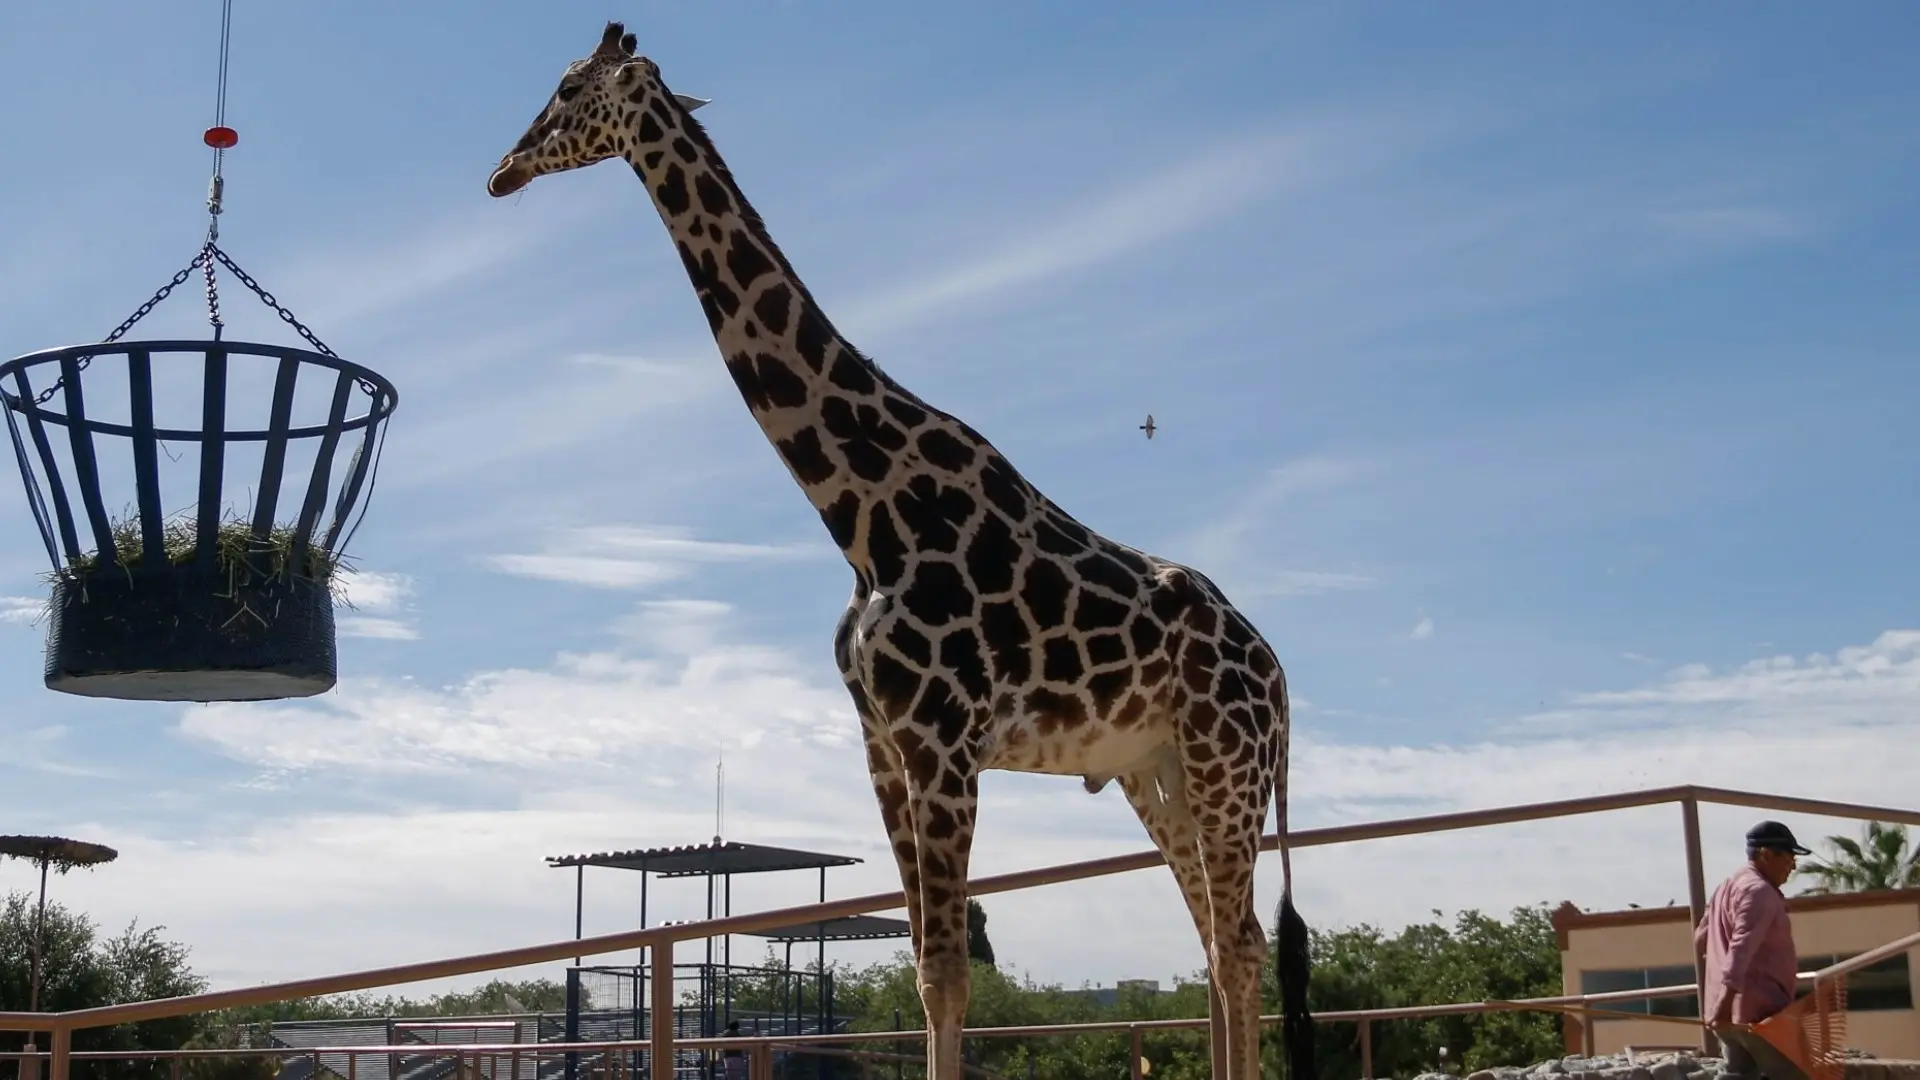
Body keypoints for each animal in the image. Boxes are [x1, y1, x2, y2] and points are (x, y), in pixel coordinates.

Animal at [486, 23, 1317, 1080]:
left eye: (566, 90)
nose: (502, 171)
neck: (861, 516)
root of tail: (1279, 674)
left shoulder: (943, 744)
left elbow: (952, 974)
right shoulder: (883, 745)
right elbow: (927, 968)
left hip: (1226, 760)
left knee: (1241, 942)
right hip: (1156, 767)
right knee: (1217, 939)